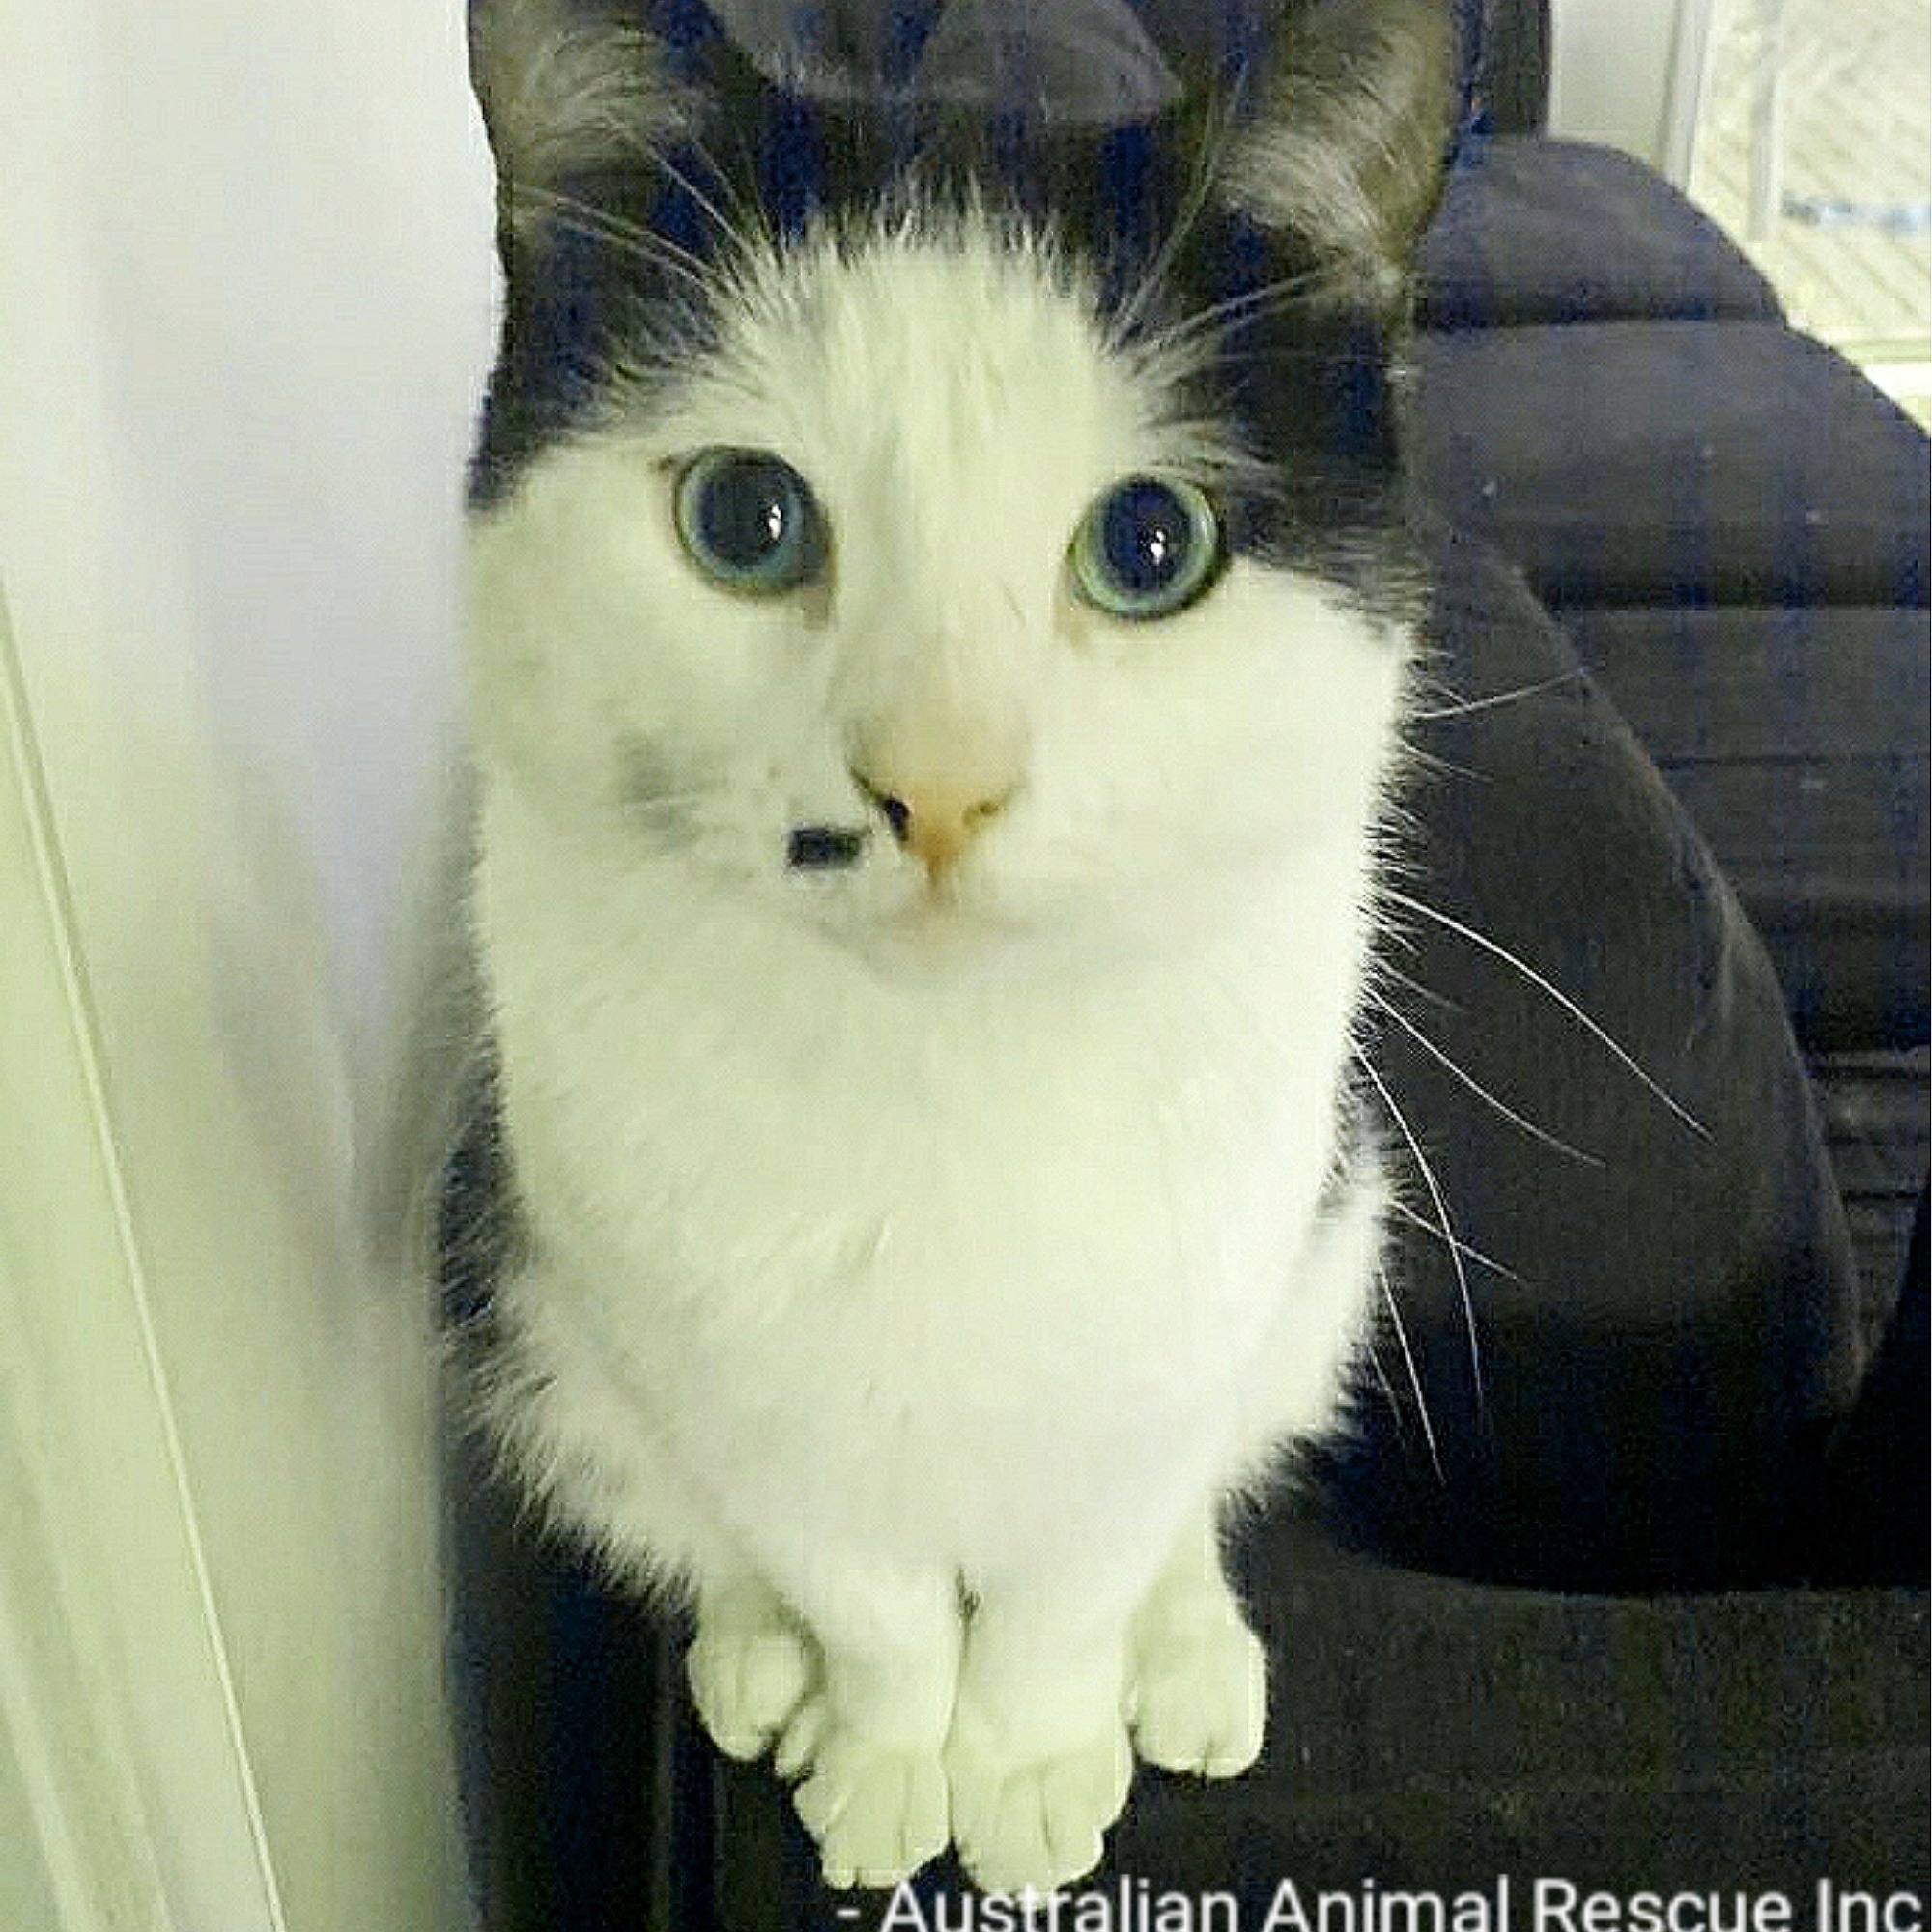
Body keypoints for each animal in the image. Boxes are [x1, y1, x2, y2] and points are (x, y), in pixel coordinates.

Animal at [459, 0, 1457, 1897]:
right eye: (744, 519)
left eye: (1150, 546)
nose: (936, 787)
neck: (948, 1071)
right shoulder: (729, 1363)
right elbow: (860, 1584)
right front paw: (890, 1748)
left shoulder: (1189, 1302)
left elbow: (1085, 1564)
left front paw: (1029, 1753)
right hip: (534, 1292)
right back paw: (754, 1657)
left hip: (1332, 1230)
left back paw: (1188, 1647)